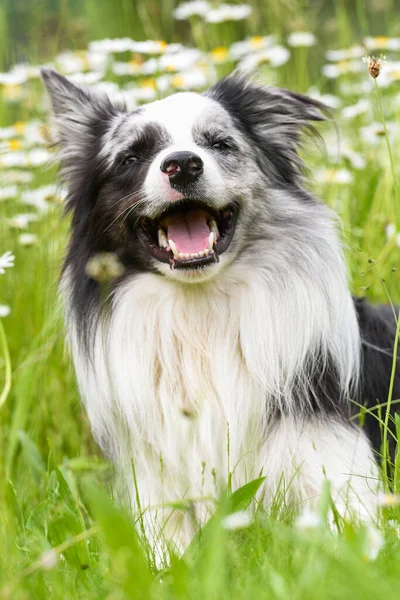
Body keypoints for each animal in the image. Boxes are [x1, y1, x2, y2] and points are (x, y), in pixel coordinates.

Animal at [42, 69, 398, 556]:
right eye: (132, 156)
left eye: (219, 144)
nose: (182, 164)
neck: (201, 315)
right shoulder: (158, 500)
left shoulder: (343, 484)